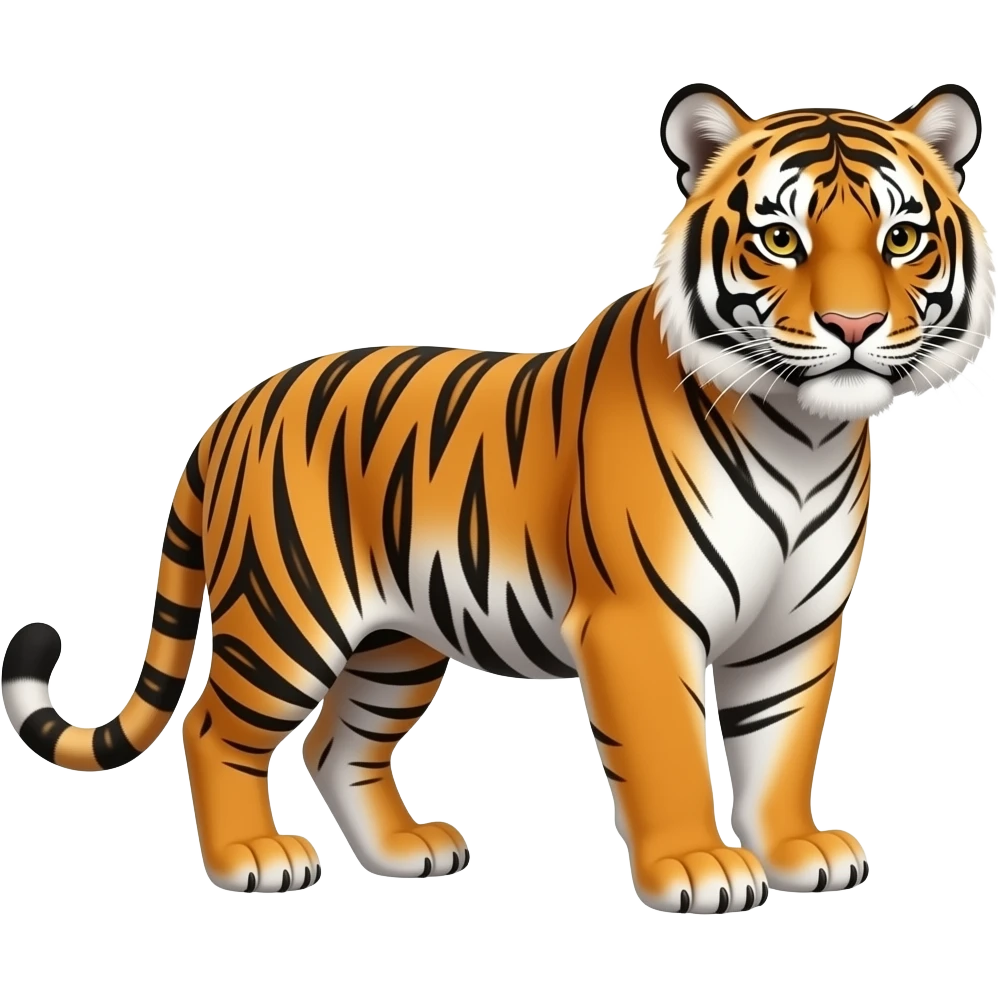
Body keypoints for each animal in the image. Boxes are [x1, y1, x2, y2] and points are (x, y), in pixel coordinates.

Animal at [2, 82, 992, 913]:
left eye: (901, 238)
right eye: (780, 238)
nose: (855, 326)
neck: (802, 432)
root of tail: (234, 410)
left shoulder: (797, 624)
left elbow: (781, 746)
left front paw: (794, 851)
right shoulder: (640, 619)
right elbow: (669, 749)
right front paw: (697, 868)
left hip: (397, 641)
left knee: (336, 744)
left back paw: (406, 852)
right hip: (288, 613)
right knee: (213, 726)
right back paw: (252, 859)